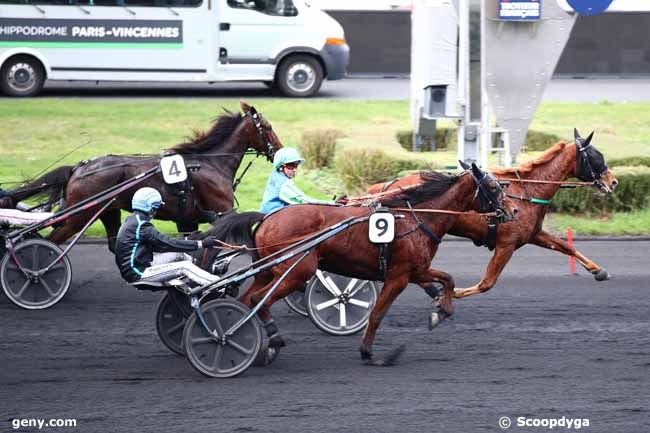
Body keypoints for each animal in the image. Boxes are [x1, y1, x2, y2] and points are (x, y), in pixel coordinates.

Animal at [1, 101, 280, 250]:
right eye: (267, 127)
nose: (279, 150)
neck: (209, 163)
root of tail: (78, 169)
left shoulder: (187, 220)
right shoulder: (223, 212)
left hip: (107, 212)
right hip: (78, 218)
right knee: (50, 241)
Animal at [213, 164, 516, 362]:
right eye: (493, 187)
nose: (513, 211)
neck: (416, 216)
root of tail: (267, 219)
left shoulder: (415, 270)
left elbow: (447, 279)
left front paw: (440, 311)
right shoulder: (398, 277)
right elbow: (378, 312)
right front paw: (368, 351)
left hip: (269, 271)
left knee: (247, 300)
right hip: (298, 270)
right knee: (259, 300)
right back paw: (272, 341)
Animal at [364, 128, 616, 296]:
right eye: (596, 157)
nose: (613, 182)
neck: (527, 190)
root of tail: (387, 185)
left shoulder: (533, 234)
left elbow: (566, 246)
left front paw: (599, 270)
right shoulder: (506, 244)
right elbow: (487, 283)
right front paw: (453, 293)